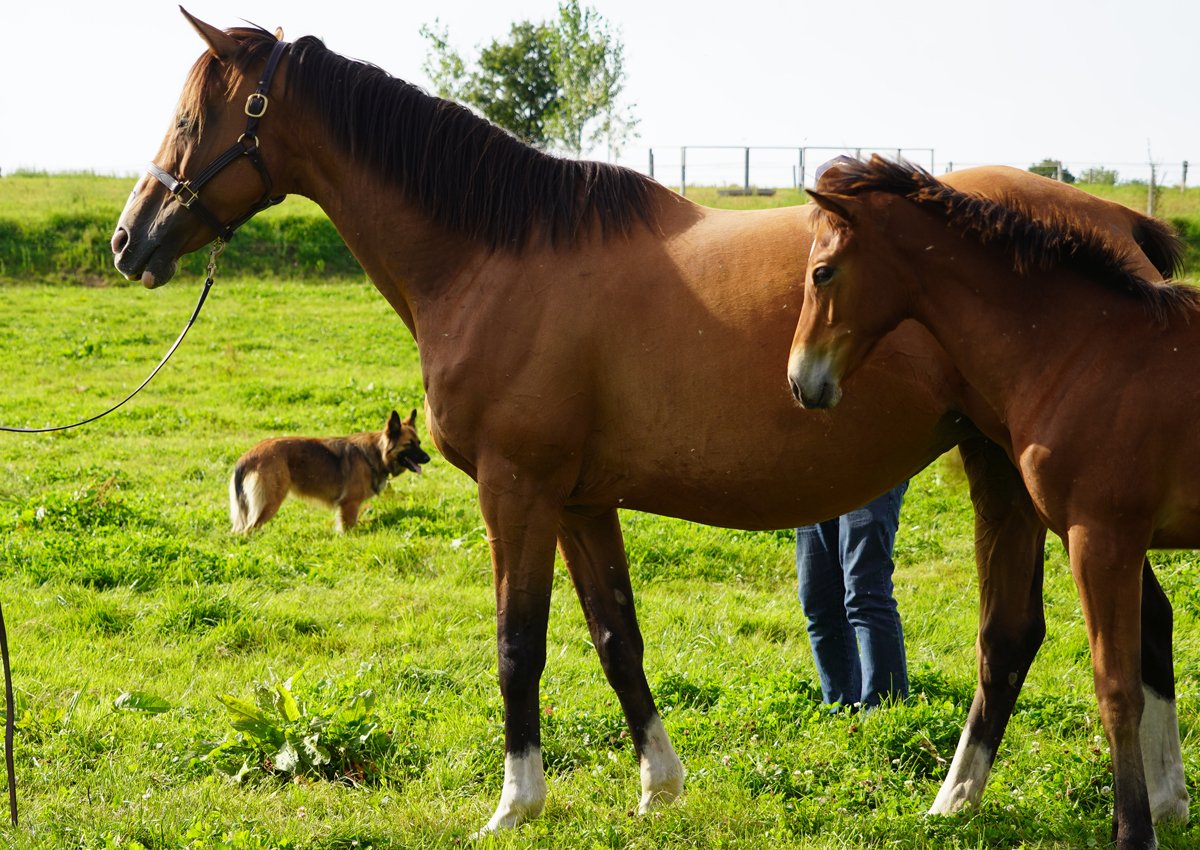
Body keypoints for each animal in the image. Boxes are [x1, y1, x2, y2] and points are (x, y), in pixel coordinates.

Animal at [229, 409, 431, 533]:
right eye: (409, 444)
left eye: (419, 442)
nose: (429, 458)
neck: (375, 454)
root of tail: (249, 455)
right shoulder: (349, 505)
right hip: (270, 501)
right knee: (248, 529)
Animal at [788, 155, 1196, 849]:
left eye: (822, 271)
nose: (799, 380)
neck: (1085, 349)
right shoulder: (1109, 537)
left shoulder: (1100, 539)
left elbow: (1116, 689)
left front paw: (1132, 833)